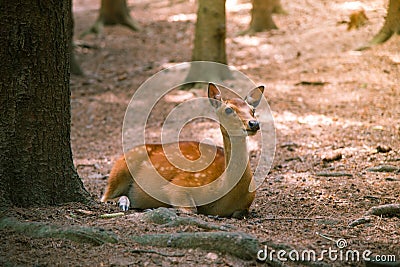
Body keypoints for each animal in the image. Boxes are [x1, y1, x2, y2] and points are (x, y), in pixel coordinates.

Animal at [101, 84, 264, 220]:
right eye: (228, 109)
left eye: (253, 110)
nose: (254, 123)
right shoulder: (180, 185)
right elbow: (191, 209)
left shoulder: (245, 205)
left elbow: (240, 212)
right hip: (121, 168)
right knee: (106, 196)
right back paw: (124, 203)